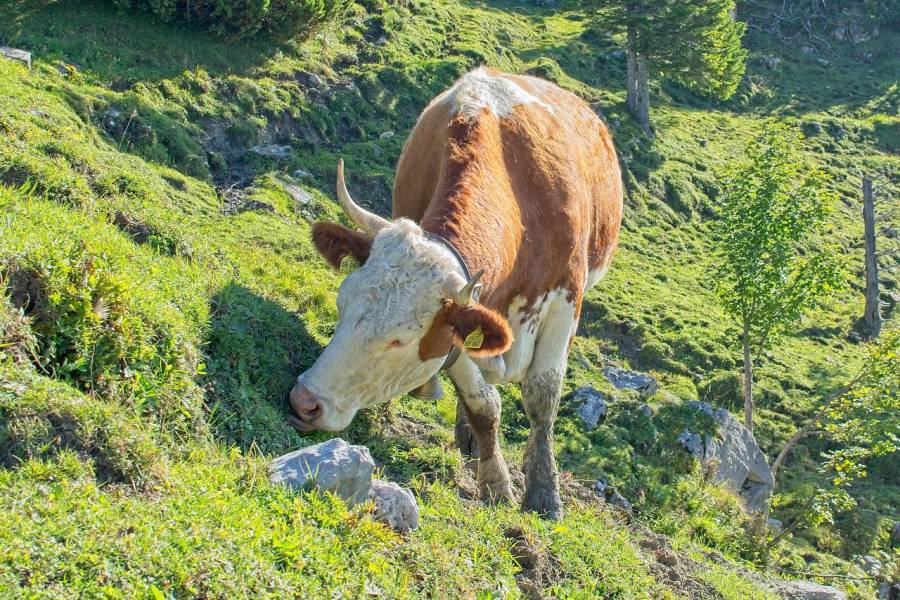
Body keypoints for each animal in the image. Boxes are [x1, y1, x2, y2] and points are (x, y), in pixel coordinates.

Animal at [292, 64, 624, 516]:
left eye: (399, 340)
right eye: (341, 307)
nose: (303, 401)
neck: (520, 202)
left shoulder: (565, 300)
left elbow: (542, 396)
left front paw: (543, 493)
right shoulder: (459, 323)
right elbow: (483, 403)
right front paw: (495, 481)